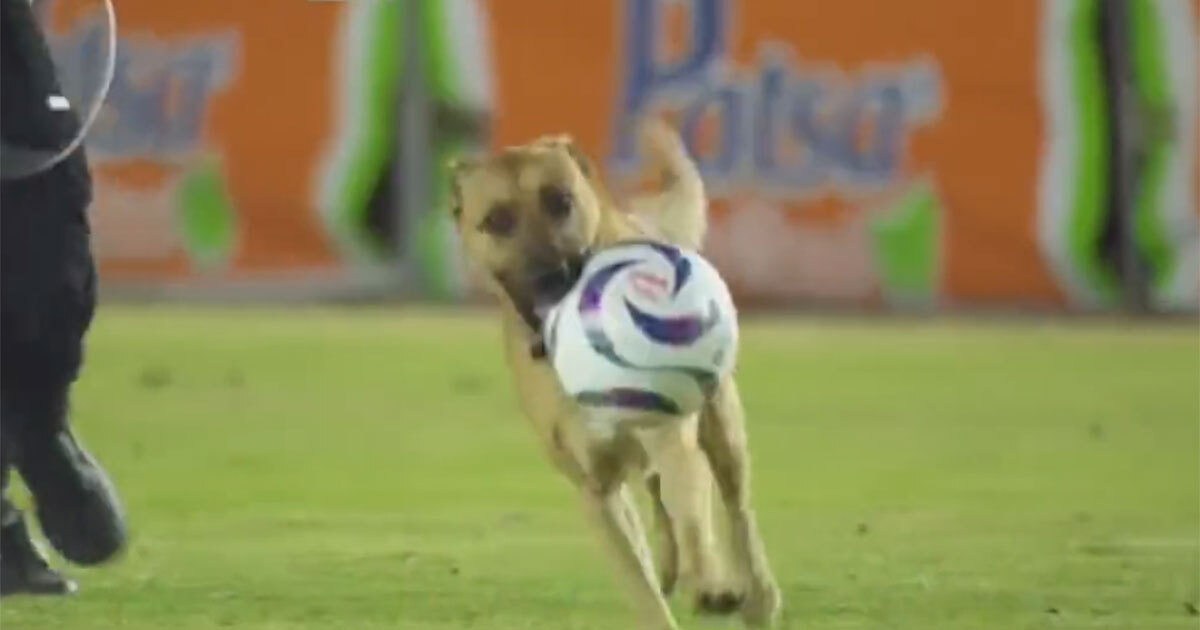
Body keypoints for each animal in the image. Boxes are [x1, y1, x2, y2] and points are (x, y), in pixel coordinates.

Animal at [448, 120, 777, 624]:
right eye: (497, 220)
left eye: (560, 200)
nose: (552, 278)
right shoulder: (597, 492)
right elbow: (642, 587)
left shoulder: (672, 439)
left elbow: (696, 520)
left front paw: (714, 584)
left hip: (722, 428)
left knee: (736, 508)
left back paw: (756, 593)